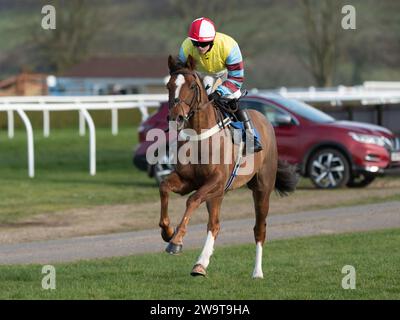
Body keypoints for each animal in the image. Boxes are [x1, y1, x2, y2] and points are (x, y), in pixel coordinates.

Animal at [159, 54, 296, 278]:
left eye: (191, 86)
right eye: (169, 85)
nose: (175, 117)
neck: (200, 137)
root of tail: (266, 121)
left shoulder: (216, 181)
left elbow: (192, 200)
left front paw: (176, 241)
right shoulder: (189, 180)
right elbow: (164, 187)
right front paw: (167, 232)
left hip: (261, 189)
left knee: (259, 229)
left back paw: (257, 272)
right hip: (218, 194)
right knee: (214, 225)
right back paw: (200, 264)